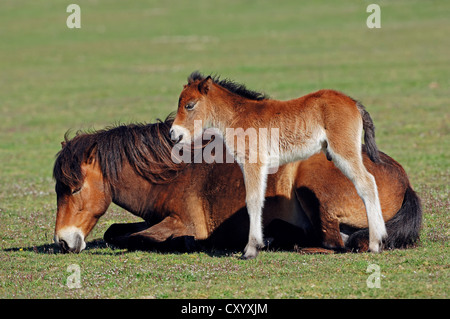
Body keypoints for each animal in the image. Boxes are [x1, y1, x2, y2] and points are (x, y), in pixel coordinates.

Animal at [171, 72, 388, 260]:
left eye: (189, 105)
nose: (174, 134)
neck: (237, 116)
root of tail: (353, 102)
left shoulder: (253, 162)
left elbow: (252, 200)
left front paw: (250, 250)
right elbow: (259, 199)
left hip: (344, 152)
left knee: (367, 183)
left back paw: (375, 243)